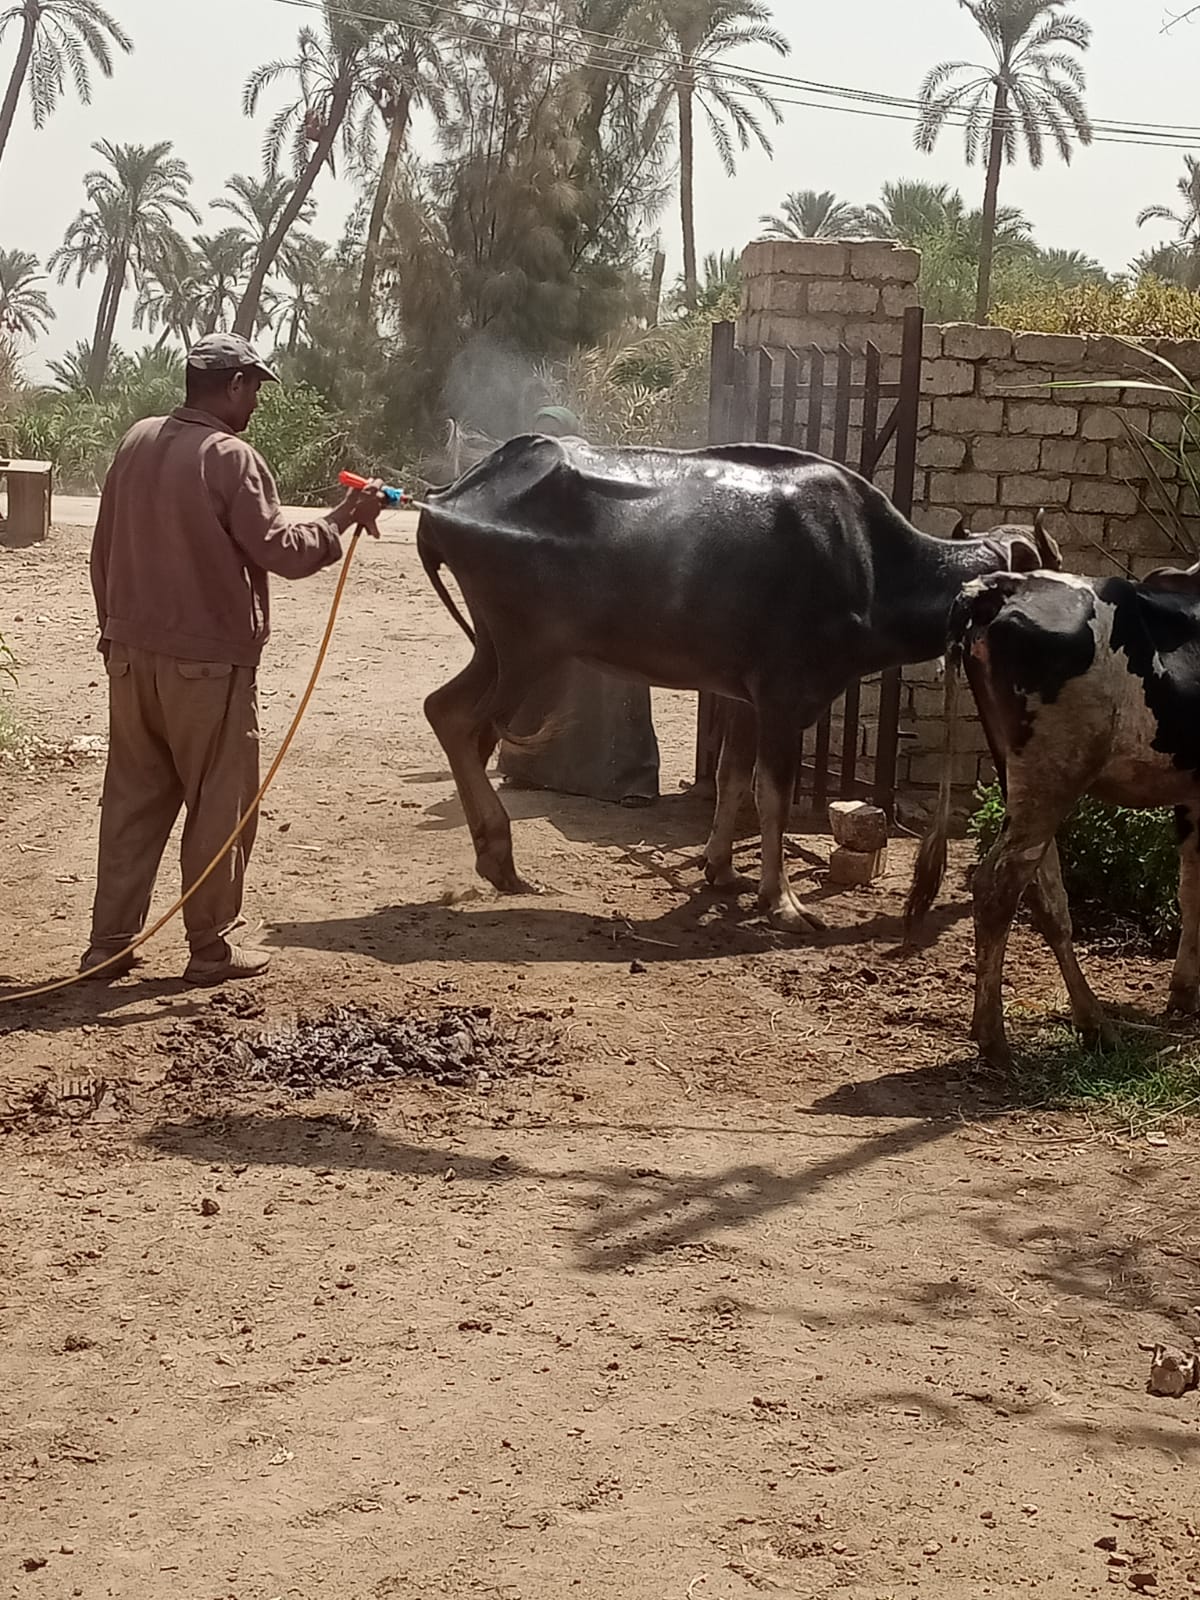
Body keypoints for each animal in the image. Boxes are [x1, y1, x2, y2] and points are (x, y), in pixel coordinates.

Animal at [419, 438, 1056, 934]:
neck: (871, 563)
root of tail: (446, 500)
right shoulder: (783, 698)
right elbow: (772, 793)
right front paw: (783, 900)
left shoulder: (742, 699)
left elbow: (731, 778)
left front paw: (722, 870)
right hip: (529, 651)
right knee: (461, 721)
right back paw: (500, 857)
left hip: (497, 649)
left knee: (447, 713)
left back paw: (493, 855)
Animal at [908, 556, 1200, 1068]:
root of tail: (1004, 584)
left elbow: (1190, 890)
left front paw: (1184, 996)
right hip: (1053, 775)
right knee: (998, 885)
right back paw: (995, 1039)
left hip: (1022, 775)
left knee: (1046, 896)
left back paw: (1095, 1025)